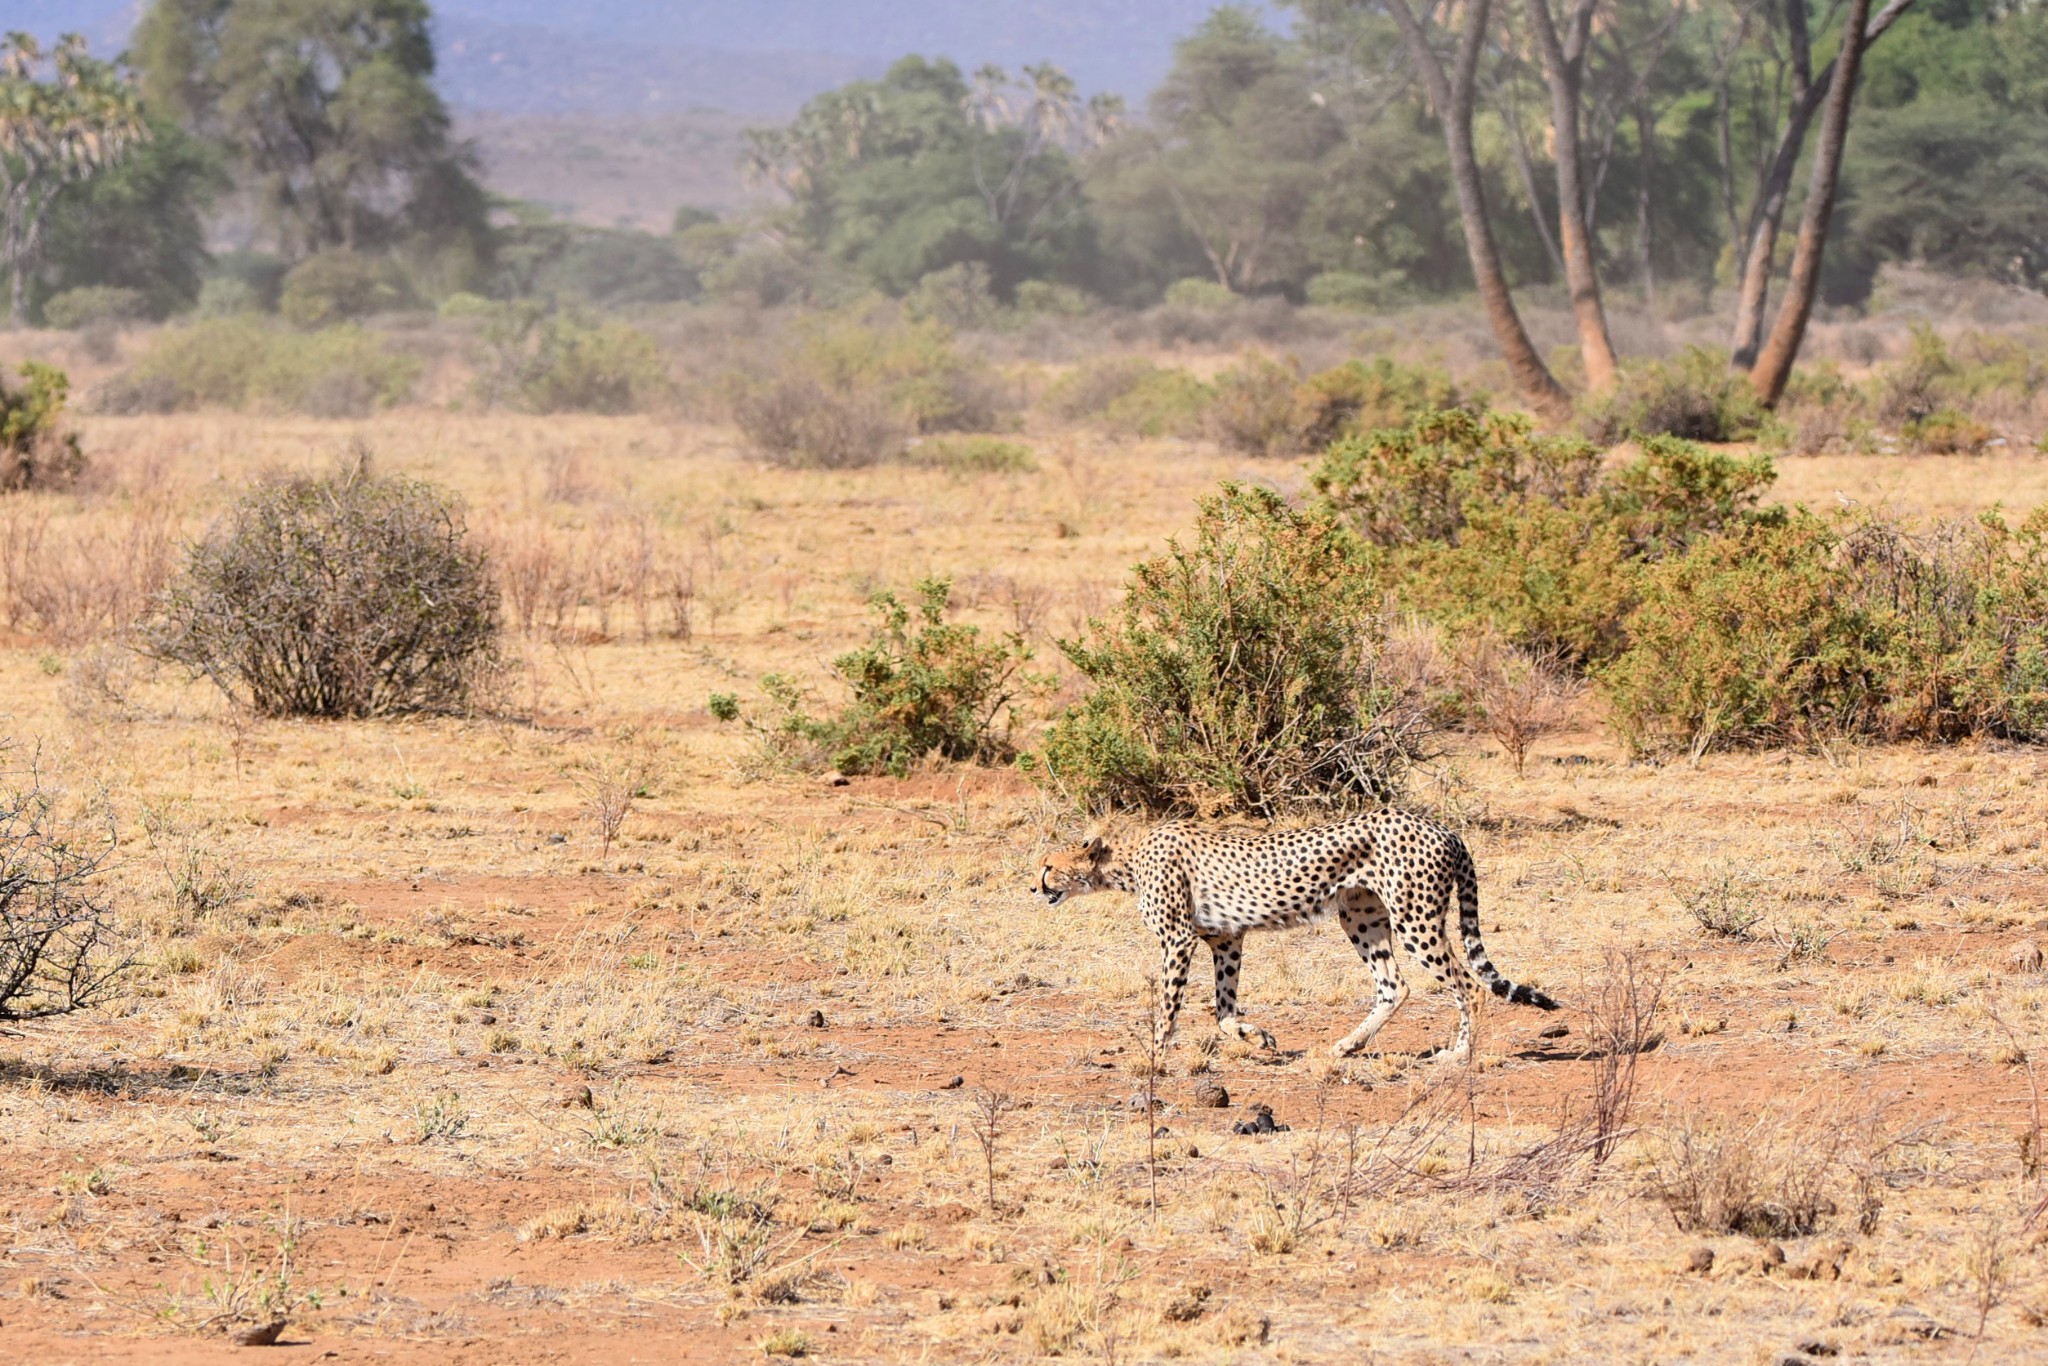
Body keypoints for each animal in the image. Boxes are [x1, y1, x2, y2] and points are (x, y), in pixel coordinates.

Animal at [1032, 806, 1556, 1064]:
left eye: (1049, 866)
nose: (1033, 888)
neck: (1127, 860)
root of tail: (1443, 827)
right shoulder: (1226, 939)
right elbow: (1223, 1012)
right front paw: (1259, 1038)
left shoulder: (1178, 939)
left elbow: (1168, 1005)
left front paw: (1156, 1056)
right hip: (1361, 918)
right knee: (1395, 986)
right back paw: (1347, 1047)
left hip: (1415, 918)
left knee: (1469, 986)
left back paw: (1461, 1052)